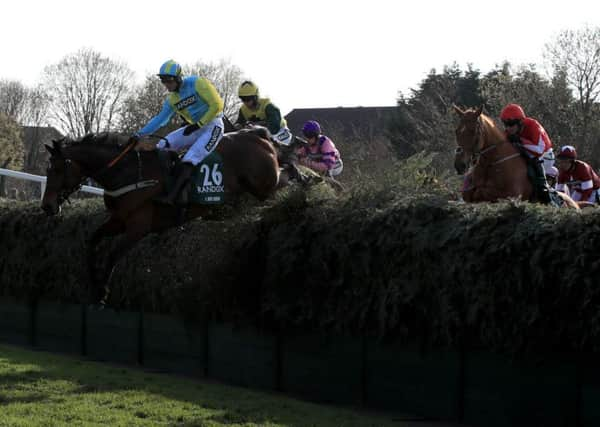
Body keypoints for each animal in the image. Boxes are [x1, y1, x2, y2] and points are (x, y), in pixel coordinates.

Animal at [42, 129, 282, 306]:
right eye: (47, 169)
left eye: (56, 169)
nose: (47, 206)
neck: (128, 174)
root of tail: (258, 134)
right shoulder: (118, 221)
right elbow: (92, 242)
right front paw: (94, 286)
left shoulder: (138, 227)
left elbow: (112, 255)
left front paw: (102, 292)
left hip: (263, 185)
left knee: (284, 181)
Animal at [452, 105, 580, 209]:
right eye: (457, 131)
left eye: (474, 131)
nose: (459, 164)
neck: (493, 165)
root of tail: (576, 204)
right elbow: (468, 193)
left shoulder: (510, 195)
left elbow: (482, 193)